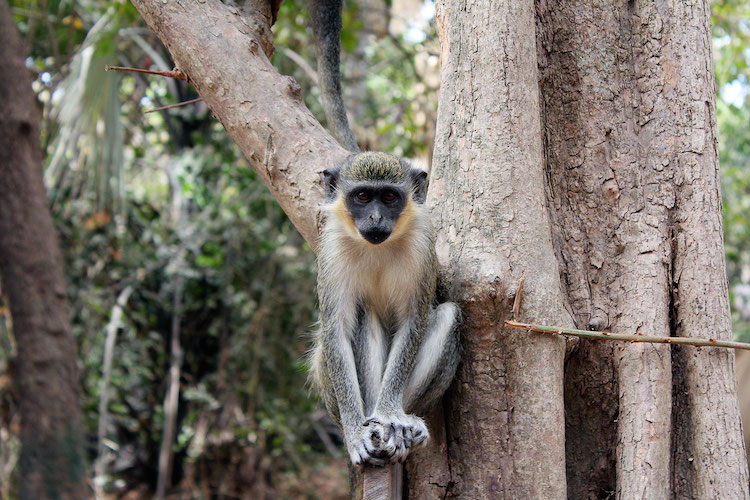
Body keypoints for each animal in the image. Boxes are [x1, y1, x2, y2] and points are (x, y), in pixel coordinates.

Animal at [308, 151, 462, 464]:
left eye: (390, 197)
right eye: (363, 196)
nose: (376, 217)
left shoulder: (422, 245)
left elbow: (413, 324)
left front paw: (390, 413)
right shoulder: (331, 251)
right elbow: (335, 331)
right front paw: (356, 432)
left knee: (448, 315)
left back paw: (402, 422)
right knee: (364, 314)